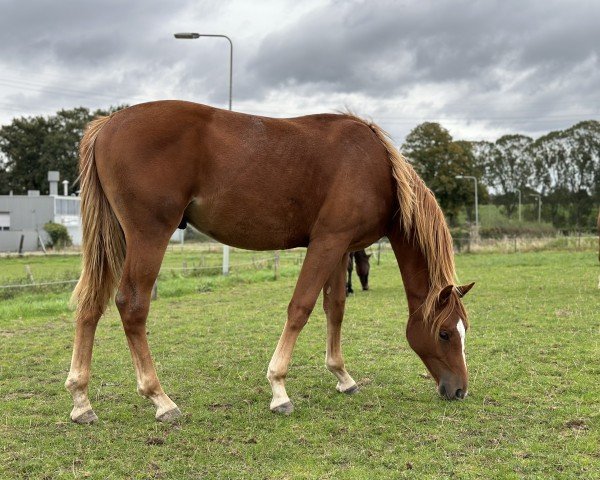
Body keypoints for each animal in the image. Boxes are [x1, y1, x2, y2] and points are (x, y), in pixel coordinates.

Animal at [67, 101, 474, 424]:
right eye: (445, 333)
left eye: (463, 331)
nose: (459, 391)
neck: (377, 168)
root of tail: (108, 124)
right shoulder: (327, 243)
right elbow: (301, 308)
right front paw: (279, 389)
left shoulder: (340, 247)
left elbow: (335, 307)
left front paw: (342, 376)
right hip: (148, 236)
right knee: (132, 306)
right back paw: (160, 399)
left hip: (115, 239)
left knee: (91, 305)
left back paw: (81, 400)